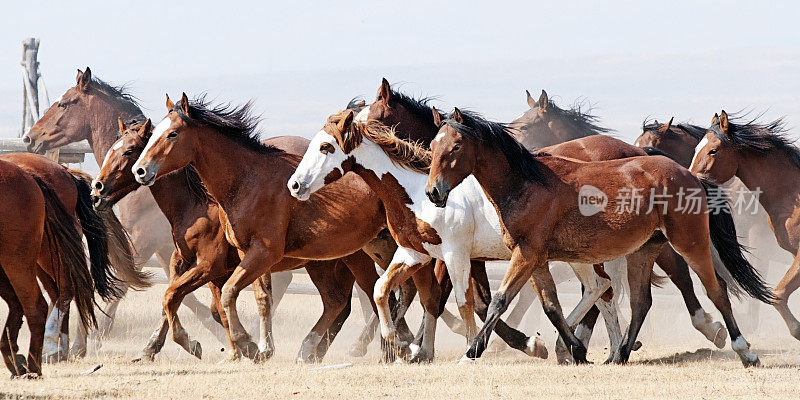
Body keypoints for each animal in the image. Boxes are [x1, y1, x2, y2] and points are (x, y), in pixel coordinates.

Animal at [22, 68, 206, 346]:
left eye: (63, 103)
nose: (29, 138)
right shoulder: (166, 245)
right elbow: (186, 295)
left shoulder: (145, 238)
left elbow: (121, 285)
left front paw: (90, 339)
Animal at [132, 94, 434, 362]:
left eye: (172, 134)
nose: (140, 170)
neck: (247, 181)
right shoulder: (247, 255)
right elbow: (259, 299)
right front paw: (262, 349)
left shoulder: (258, 254)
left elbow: (224, 293)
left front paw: (245, 344)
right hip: (355, 254)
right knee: (355, 298)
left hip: (374, 254)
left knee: (397, 294)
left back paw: (402, 348)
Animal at [428, 108, 772, 366]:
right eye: (432, 146)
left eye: (456, 146)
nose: (434, 192)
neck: (527, 184)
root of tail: (690, 174)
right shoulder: (536, 260)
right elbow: (551, 307)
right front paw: (575, 350)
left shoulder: (526, 256)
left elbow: (500, 301)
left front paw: (470, 354)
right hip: (644, 251)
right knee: (640, 301)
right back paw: (619, 354)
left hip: (689, 243)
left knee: (716, 290)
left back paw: (744, 351)